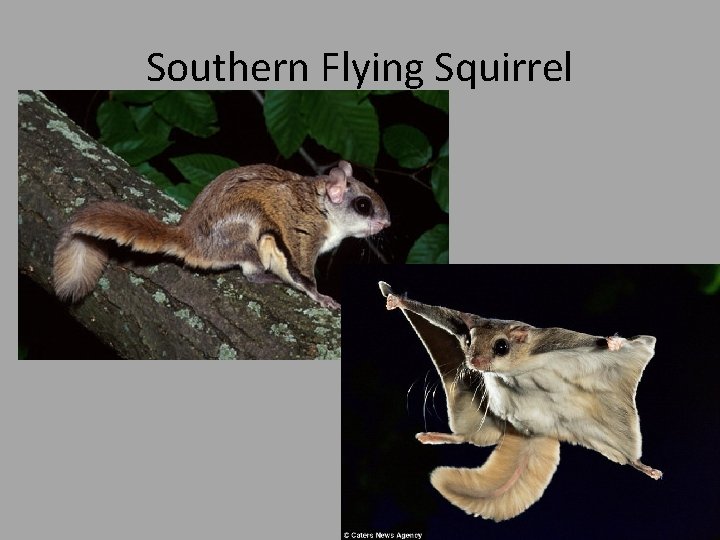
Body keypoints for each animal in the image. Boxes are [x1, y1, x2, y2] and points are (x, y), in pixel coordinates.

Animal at [52, 161, 390, 309]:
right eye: (363, 205)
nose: (387, 223)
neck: (322, 207)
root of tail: (187, 237)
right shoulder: (302, 234)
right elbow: (303, 275)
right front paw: (322, 297)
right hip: (249, 230)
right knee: (251, 273)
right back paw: (268, 277)